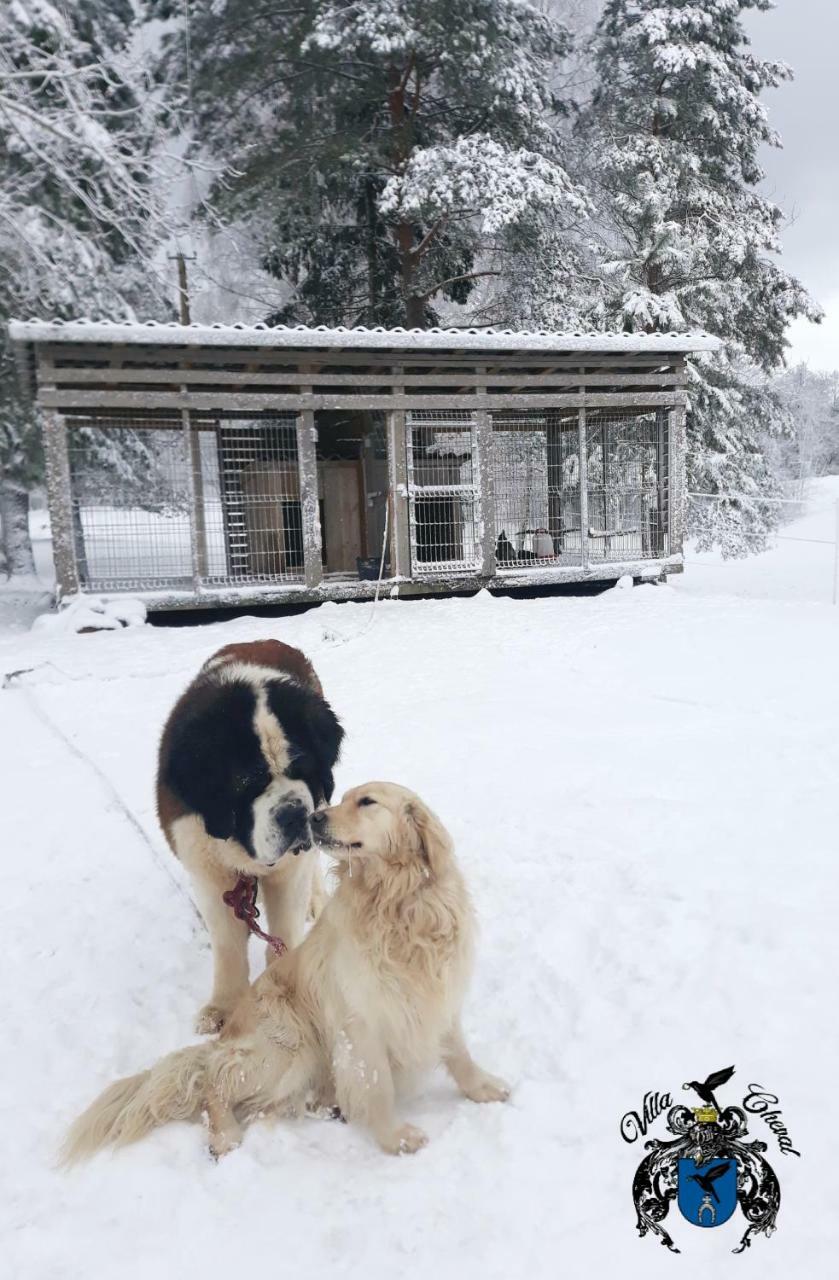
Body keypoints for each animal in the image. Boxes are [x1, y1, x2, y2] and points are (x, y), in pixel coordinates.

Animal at [155, 634, 343, 1034]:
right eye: (248, 782)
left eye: (303, 769)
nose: (295, 814)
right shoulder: (207, 866)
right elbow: (227, 946)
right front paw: (223, 1008)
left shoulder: (288, 871)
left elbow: (284, 927)